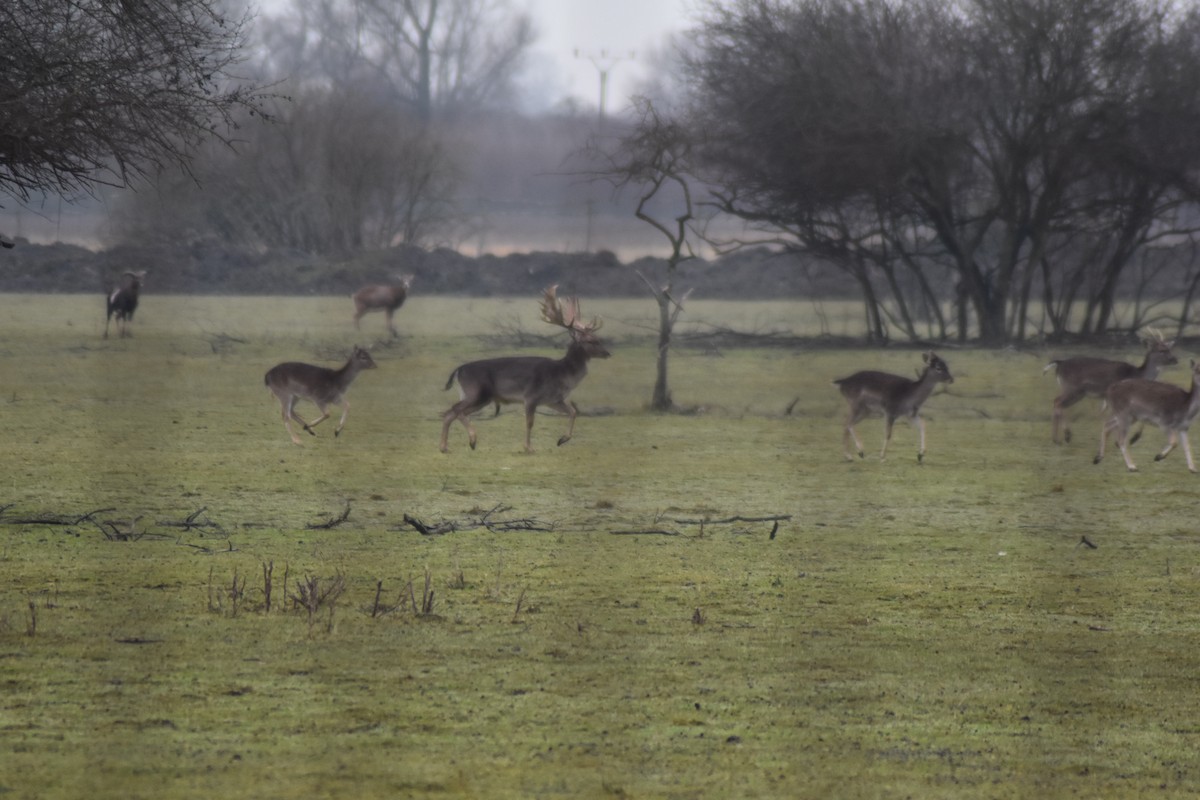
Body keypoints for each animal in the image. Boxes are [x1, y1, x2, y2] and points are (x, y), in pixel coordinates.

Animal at [440, 286, 610, 453]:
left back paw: (445, 446)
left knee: (450, 413)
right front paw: (528, 447)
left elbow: (573, 411)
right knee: (455, 410)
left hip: (473, 396)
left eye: (598, 338)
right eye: (590, 341)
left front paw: (562, 440)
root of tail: (458, 370)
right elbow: (529, 422)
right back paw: (472, 440)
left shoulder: (553, 400)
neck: (562, 374)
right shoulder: (531, 396)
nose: (608, 353)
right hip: (477, 393)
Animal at [1044, 330, 1177, 444]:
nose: (1175, 359)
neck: (1137, 374)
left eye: (1170, 349)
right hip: (1073, 389)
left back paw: (1056, 439)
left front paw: (1132, 438)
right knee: (1058, 402)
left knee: (1057, 402)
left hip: (1075, 391)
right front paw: (1124, 440)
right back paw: (1066, 435)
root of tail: (1060, 363)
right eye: (1161, 350)